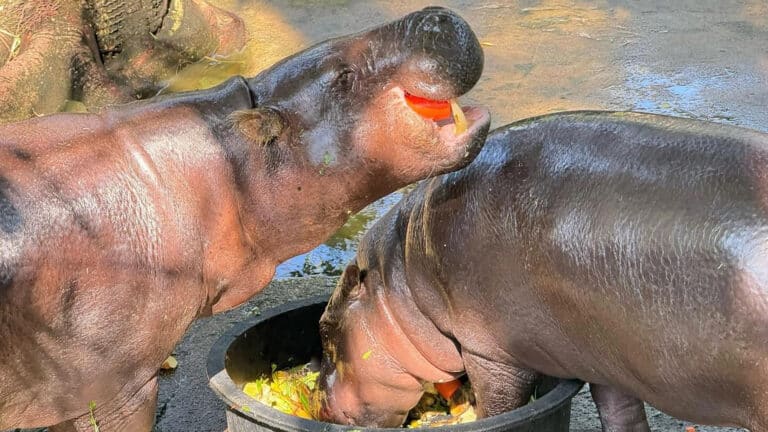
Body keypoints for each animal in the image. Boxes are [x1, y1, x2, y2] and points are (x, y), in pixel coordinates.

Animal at [315, 111, 768, 431]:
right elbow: (621, 416)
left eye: (325, 331)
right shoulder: (604, 363)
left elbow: (497, 407)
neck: (401, 276)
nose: (320, 403)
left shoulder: (489, 352)